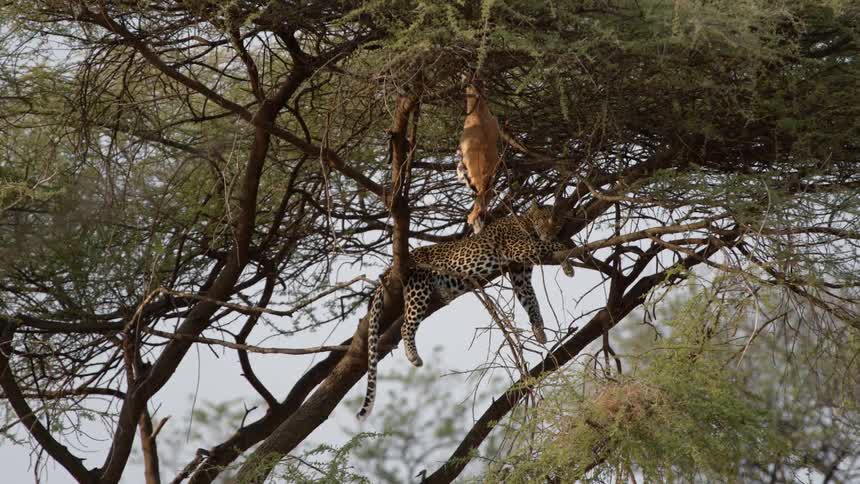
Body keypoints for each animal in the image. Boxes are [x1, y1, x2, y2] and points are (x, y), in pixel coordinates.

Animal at [357, 202, 572, 419]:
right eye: (544, 219)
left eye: (557, 221)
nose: (550, 232)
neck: (526, 223)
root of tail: (393, 266)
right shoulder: (519, 248)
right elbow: (552, 247)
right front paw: (568, 257)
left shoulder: (520, 274)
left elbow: (531, 301)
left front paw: (539, 329)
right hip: (418, 286)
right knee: (406, 326)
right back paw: (413, 356)